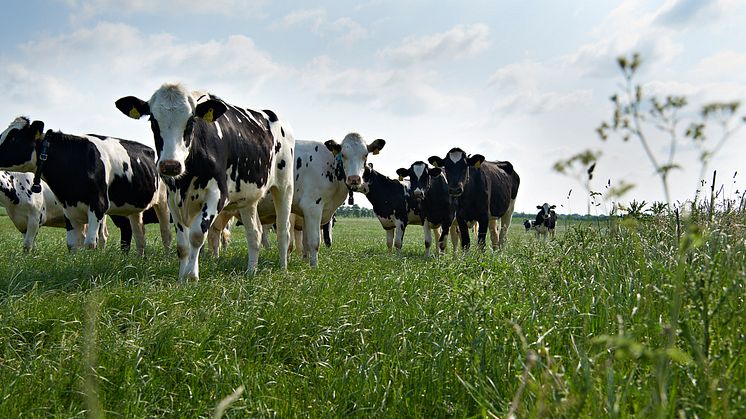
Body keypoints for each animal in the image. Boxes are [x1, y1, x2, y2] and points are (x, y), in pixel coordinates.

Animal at [0, 116, 170, 254]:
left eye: (13, 138)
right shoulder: (68, 208)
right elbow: (72, 245)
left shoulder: (98, 205)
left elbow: (89, 243)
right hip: (135, 208)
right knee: (139, 235)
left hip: (162, 203)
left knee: (165, 234)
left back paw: (167, 258)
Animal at [116, 83, 294, 278]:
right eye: (153, 121)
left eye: (191, 121)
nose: (170, 166)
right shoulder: (173, 200)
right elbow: (182, 244)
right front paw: (182, 278)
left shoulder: (217, 195)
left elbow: (196, 235)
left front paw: (192, 276)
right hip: (248, 197)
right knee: (254, 233)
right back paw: (250, 272)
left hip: (284, 186)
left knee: (283, 230)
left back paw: (283, 268)